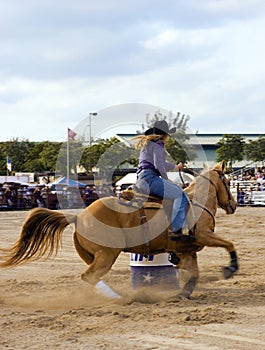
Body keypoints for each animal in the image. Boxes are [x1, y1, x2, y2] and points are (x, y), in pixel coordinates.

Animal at [0, 162, 237, 300]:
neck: (197, 202)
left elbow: (194, 275)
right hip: (106, 255)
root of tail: (78, 216)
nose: (233, 205)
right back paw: (119, 299)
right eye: (227, 181)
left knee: (91, 278)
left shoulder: (187, 250)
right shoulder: (204, 235)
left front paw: (182, 294)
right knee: (89, 276)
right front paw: (230, 269)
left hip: (94, 256)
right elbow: (229, 244)